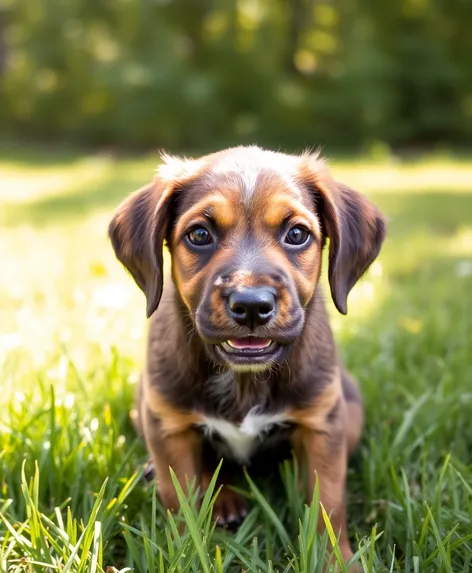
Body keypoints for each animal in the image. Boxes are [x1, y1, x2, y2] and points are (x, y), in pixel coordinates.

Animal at [110, 145, 388, 564]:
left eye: (297, 234)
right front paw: (186, 551)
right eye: (199, 235)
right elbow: (182, 503)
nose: (252, 305)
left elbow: (327, 505)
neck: (242, 378)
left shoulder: (323, 426)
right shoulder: (169, 429)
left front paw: (335, 561)